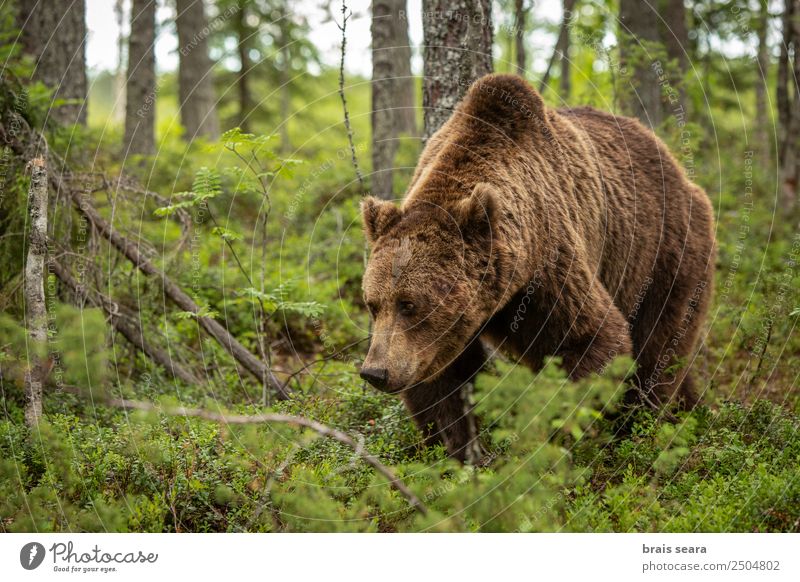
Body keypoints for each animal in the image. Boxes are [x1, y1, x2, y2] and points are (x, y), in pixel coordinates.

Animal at [360, 74, 716, 466]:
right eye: (372, 304)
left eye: (409, 304)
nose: (375, 372)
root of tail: (679, 171)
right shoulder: (441, 338)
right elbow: (443, 379)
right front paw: (461, 452)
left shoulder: (546, 266)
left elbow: (591, 338)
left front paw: (548, 445)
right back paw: (690, 407)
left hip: (663, 255)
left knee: (657, 347)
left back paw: (643, 427)